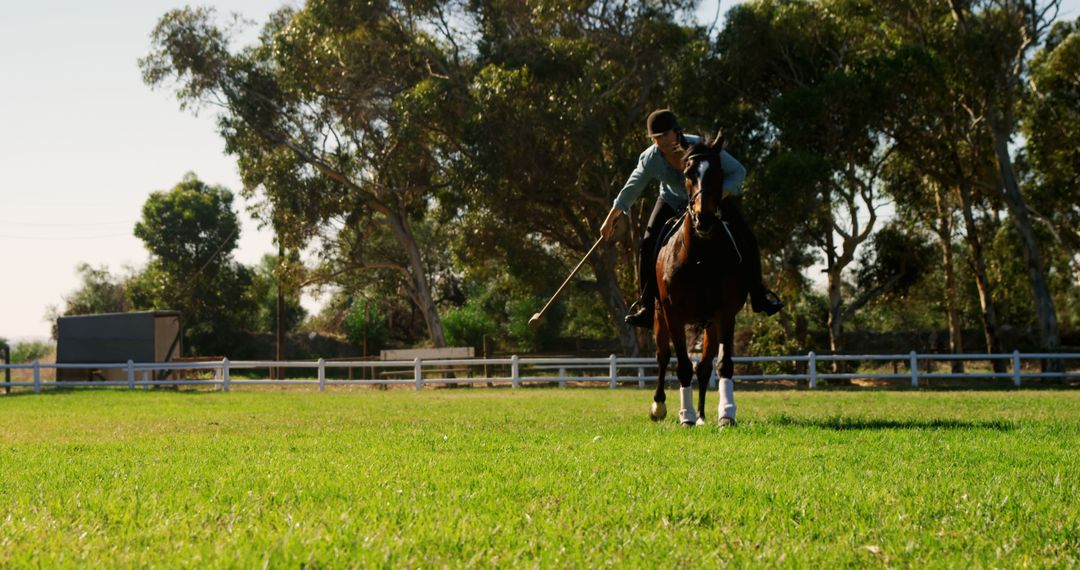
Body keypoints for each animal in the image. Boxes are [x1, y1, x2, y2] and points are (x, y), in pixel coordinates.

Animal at [643, 131, 747, 427]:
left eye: (719, 172)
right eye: (689, 173)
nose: (705, 218)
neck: (700, 258)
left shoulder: (725, 313)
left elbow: (722, 364)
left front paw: (726, 413)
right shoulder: (673, 313)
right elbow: (681, 365)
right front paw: (685, 415)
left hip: (709, 324)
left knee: (703, 366)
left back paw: (702, 415)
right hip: (659, 315)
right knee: (663, 357)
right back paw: (660, 407)